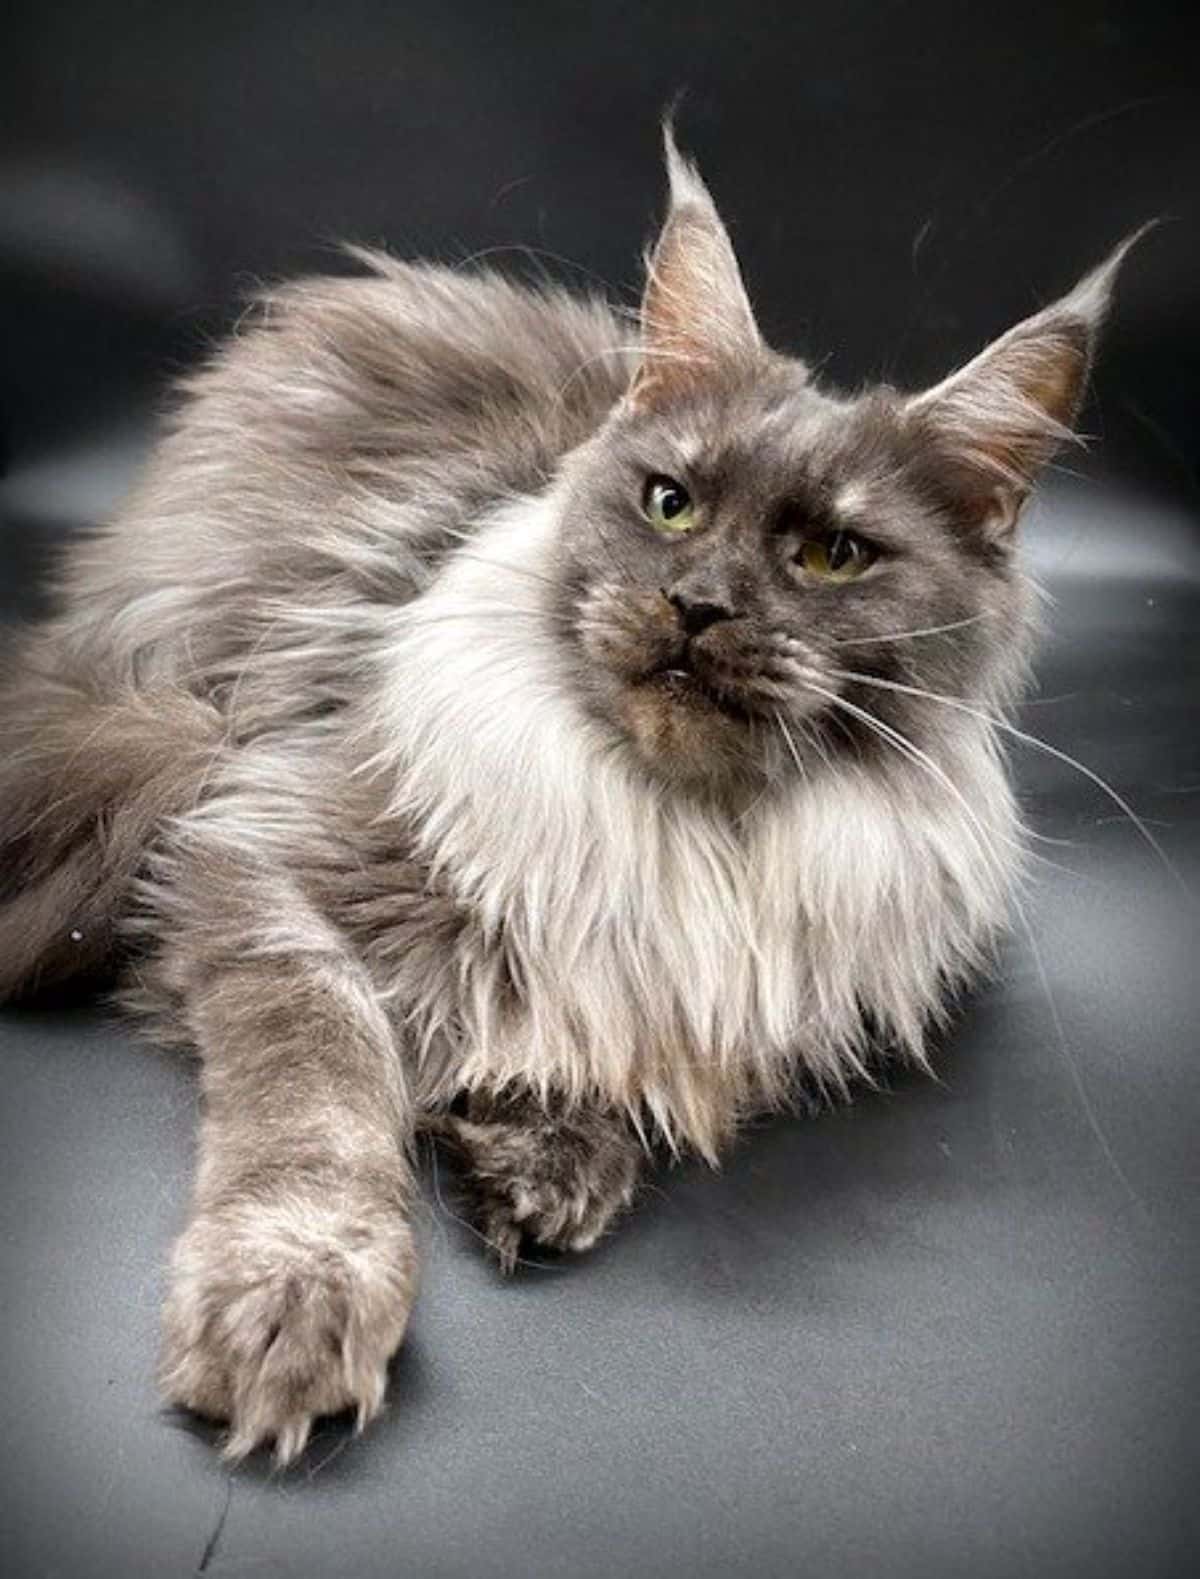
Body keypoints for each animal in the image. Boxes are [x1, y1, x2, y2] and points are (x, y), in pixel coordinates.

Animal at [0, 135, 1136, 1465]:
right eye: (669, 504)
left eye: (832, 557)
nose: (698, 604)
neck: (687, 829)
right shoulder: (258, 845)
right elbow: (327, 1085)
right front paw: (297, 1292)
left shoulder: (765, 974)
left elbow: (631, 1040)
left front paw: (545, 1149)